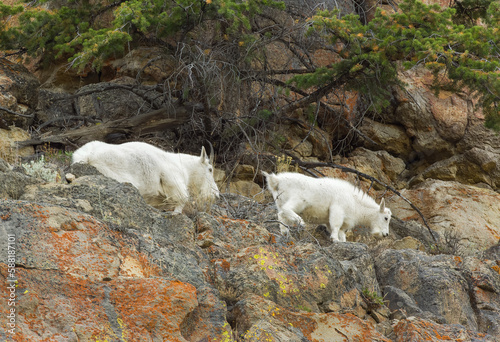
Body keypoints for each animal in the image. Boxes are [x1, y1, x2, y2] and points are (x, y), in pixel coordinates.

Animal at [72, 140, 219, 212]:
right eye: (210, 169)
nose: (216, 195)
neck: (183, 166)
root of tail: (87, 157)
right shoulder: (173, 180)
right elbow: (183, 200)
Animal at [262, 170, 390, 240]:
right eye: (386, 218)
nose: (386, 234)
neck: (355, 202)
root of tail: (276, 181)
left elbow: (341, 234)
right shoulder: (337, 209)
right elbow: (335, 226)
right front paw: (335, 240)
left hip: (280, 201)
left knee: (281, 215)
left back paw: (285, 232)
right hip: (298, 201)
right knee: (286, 209)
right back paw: (301, 222)